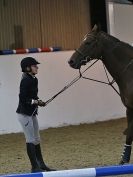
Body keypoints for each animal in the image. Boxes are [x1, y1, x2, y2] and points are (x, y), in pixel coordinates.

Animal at [68, 24, 133, 165]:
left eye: (88, 42)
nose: (71, 61)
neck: (130, 73)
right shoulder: (129, 109)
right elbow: (129, 135)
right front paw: (123, 160)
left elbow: (130, 132)